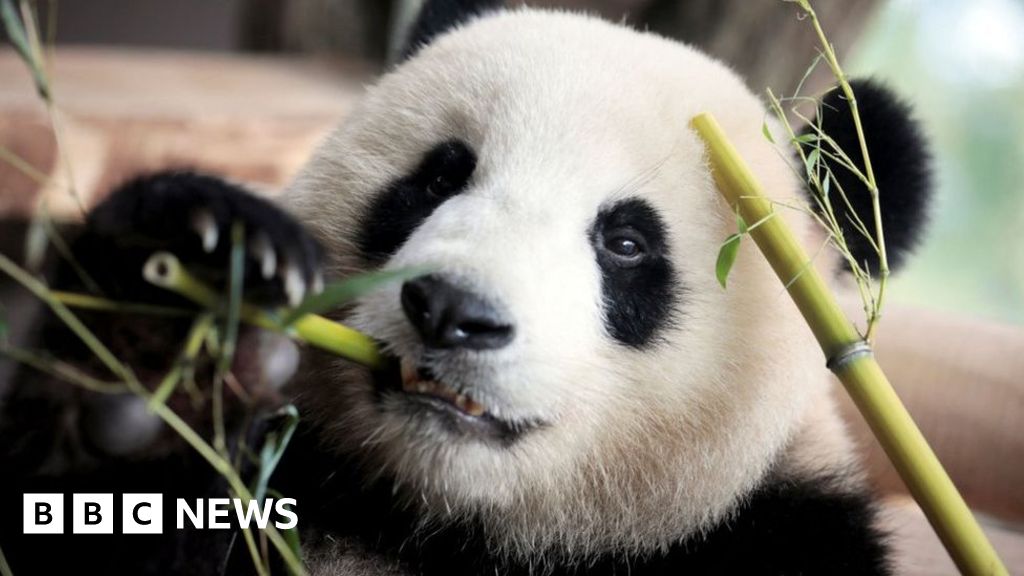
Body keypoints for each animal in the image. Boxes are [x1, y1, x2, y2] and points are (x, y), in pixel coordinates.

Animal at [0, 1, 930, 574]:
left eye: (627, 243)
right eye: (441, 176)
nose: (452, 311)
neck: (448, 525)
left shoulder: (775, 532)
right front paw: (166, 325)